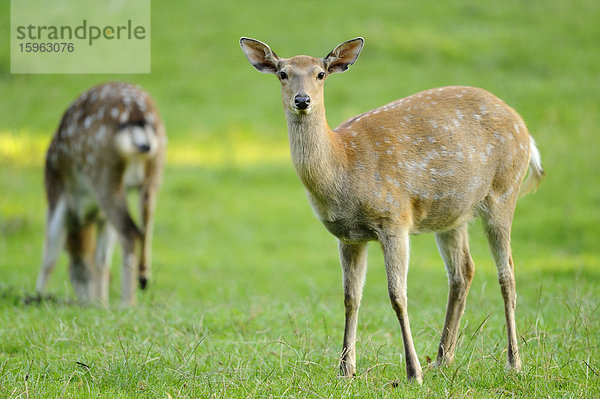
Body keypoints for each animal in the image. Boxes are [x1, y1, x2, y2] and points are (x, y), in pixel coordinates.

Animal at [35, 81, 166, 306]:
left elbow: (50, 254)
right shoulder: (101, 216)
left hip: (103, 172)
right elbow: (101, 259)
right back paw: (142, 280)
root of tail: (138, 117)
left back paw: (127, 303)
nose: (87, 303)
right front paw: (102, 303)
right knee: (145, 227)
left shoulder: (55, 191)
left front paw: (36, 296)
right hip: (153, 174)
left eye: (73, 274)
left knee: (130, 231)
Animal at [239, 37, 544, 384]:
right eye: (283, 73)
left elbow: (397, 296)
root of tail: (526, 132)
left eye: (320, 74)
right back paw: (443, 359)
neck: (343, 165)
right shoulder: (348, 236)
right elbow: (350, 298)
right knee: (463, 271)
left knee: (507, 274)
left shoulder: (394, 219)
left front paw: (413, 371)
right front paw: (346, 369)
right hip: (452, 214)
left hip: (504, 192)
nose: (302, 100)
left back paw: (513, 362)